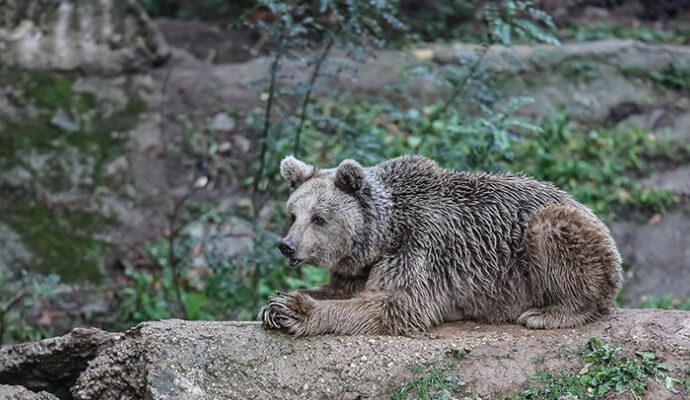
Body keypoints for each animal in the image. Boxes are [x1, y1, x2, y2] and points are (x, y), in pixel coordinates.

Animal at [260, 155, 624, 336]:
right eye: (293, 214)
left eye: (319, 218)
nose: (287, 246)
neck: (384, 234)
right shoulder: (361, 266)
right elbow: (342, 289)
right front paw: (274, 304)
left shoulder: (422, 245)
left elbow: (397, 304)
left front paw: (294, 310)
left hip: (555, 232)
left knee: (553, 234)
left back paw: (547, 313)